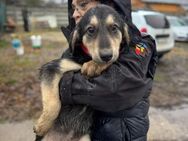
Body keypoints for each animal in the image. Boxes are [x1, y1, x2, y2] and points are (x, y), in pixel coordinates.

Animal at [33, 4, 129, 141]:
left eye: (114, 28)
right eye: (90, 30)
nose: (106, 55)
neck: (86, 56)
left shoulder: (115, 55)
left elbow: (114, 57)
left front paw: (93, 65)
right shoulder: (52, 68)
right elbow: (53, 104)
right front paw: (42, 126)